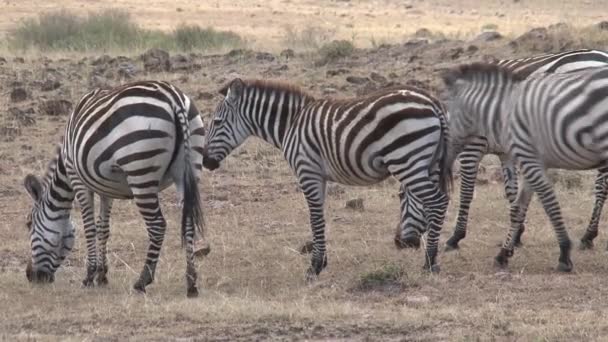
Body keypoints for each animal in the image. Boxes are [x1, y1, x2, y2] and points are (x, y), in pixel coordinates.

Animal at [23, 81, 207, 296]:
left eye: (29, 224)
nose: (31, 276)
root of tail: (174, 98)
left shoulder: (77, 178)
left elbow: (90, 228)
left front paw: (89, 276)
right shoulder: (105, 187)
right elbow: (104, 228)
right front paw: (102, 275)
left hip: (140, 171)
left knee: (157, 225)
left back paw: (142, 281)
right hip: (188, 168)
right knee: (188, 224)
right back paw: (191, 282)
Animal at [203, 79, 452, 280]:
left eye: (216, 122)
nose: (206, 162)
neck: (290, 124)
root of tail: (432, 102)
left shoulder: (307, 171)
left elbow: (314, 218)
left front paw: (314, 267)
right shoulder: (319, 176)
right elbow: (320, 217)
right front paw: (321, 261)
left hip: (406, 159)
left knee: (438, 201)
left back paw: (430, 262)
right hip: (427, 163)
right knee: (433, 202)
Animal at [394, 48, 608, 251]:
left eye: (401, 196)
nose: (399, 243)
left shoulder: (472, 148)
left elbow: (467, 192)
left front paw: (456, 237)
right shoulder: (506, 152)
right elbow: (511, 192)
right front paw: (517, 234)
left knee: (601, 185)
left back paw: (588, 236)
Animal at [440, 62, 608, 272]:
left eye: (446, 116)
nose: (443, 157)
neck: (500, 113)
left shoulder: (506, 154)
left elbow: (550, 205)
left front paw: (564, 254)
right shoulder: (528, 161)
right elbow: (517, 206)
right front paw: (505, 252)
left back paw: (587, 237)